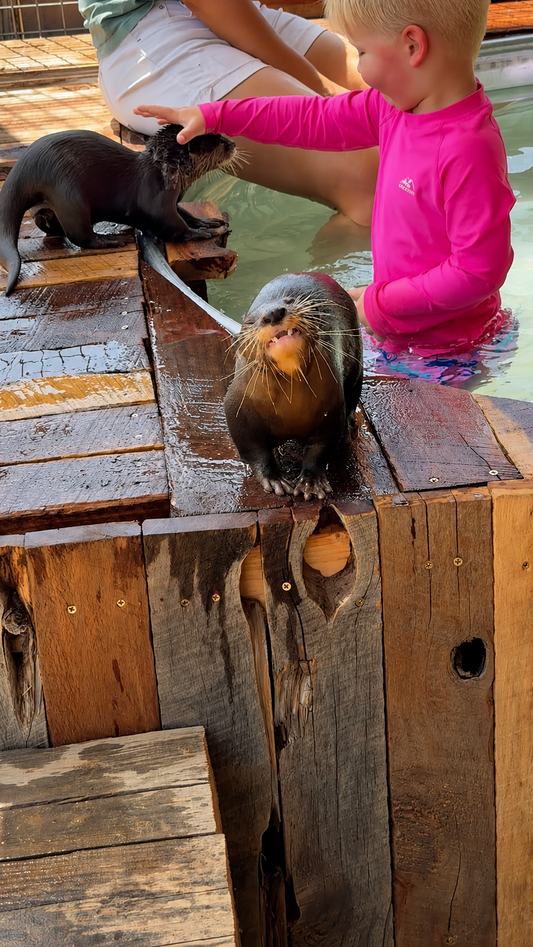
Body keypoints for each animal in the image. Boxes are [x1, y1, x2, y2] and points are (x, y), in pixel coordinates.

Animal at [0, 124, 236, 295]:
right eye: (218, 142)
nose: (233, 143)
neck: (169, 174)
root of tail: (24, 166)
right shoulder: (156, 198)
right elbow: (171, 223)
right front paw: (201, 233)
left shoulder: (174, 199)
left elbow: (183, 213)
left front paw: (206, 222)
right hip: (68, 193)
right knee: (79, 235)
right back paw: (111, 239)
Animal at [224, 272, 363, 500]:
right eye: (250, 321)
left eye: (289, 301)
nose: (273, 313)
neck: (288, 408)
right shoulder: (237, 408)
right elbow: (253, 450)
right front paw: (274, 479)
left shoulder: (332, 407)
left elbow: (320, 448)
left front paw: (310, 482)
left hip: (356, 362)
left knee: (353, 394)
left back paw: (349, 430)